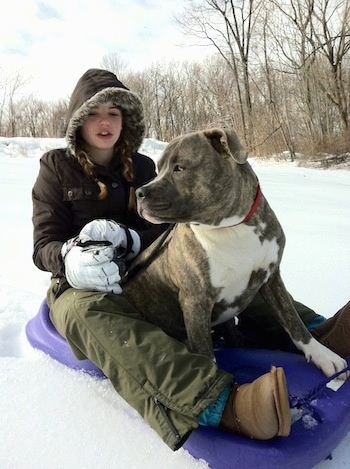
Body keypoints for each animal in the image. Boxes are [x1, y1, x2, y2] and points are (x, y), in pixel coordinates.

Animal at [123, 126, 348, 378]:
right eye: (159, 167)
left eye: (179, 168)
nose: (140, 193)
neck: (230, 228)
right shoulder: (195, 302)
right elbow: (206, 354)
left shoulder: (271, 278)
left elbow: (293, 321)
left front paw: (323, 356)